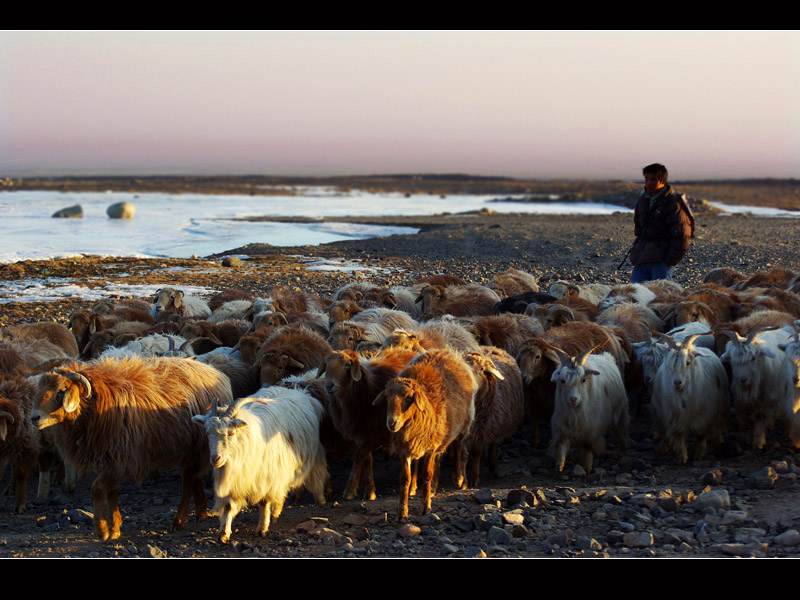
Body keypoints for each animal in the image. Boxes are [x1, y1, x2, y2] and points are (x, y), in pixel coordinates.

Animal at [32, 354, 233, 540]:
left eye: (61, 392)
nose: (34, 418)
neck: (97, 404)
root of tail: (215, 372)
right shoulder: (110, 459)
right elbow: (111, 493)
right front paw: (114, 529)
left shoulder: (124, 461)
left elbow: (97, 489)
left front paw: (102, 530)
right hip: (188, 448)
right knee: (194, 478)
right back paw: (200, 514)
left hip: (195, 446)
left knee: (188, 482)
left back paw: (179, 520)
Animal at [191, 390, 328, 544]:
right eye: (208, 433)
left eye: (231, 433)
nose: (215, 459)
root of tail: (300, 392)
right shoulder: (234, 480)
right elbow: (228, 506)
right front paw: (223, 534)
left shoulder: (267, 476)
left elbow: (264, 502)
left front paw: (262, 529)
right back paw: (275, 513)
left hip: (309, 457)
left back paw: (319, 500)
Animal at [374, 346, 478, 520]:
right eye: (387, 397)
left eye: (408, 397)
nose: (392, 422)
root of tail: (445, 351)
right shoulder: (405, 449)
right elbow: (404, 478)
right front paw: (402, 512)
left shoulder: (430, 448)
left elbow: (427, 474)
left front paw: (426, 507)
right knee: (437, 459)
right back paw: (427, 488)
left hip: (463, 424)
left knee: (459, 448)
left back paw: (459, 479)